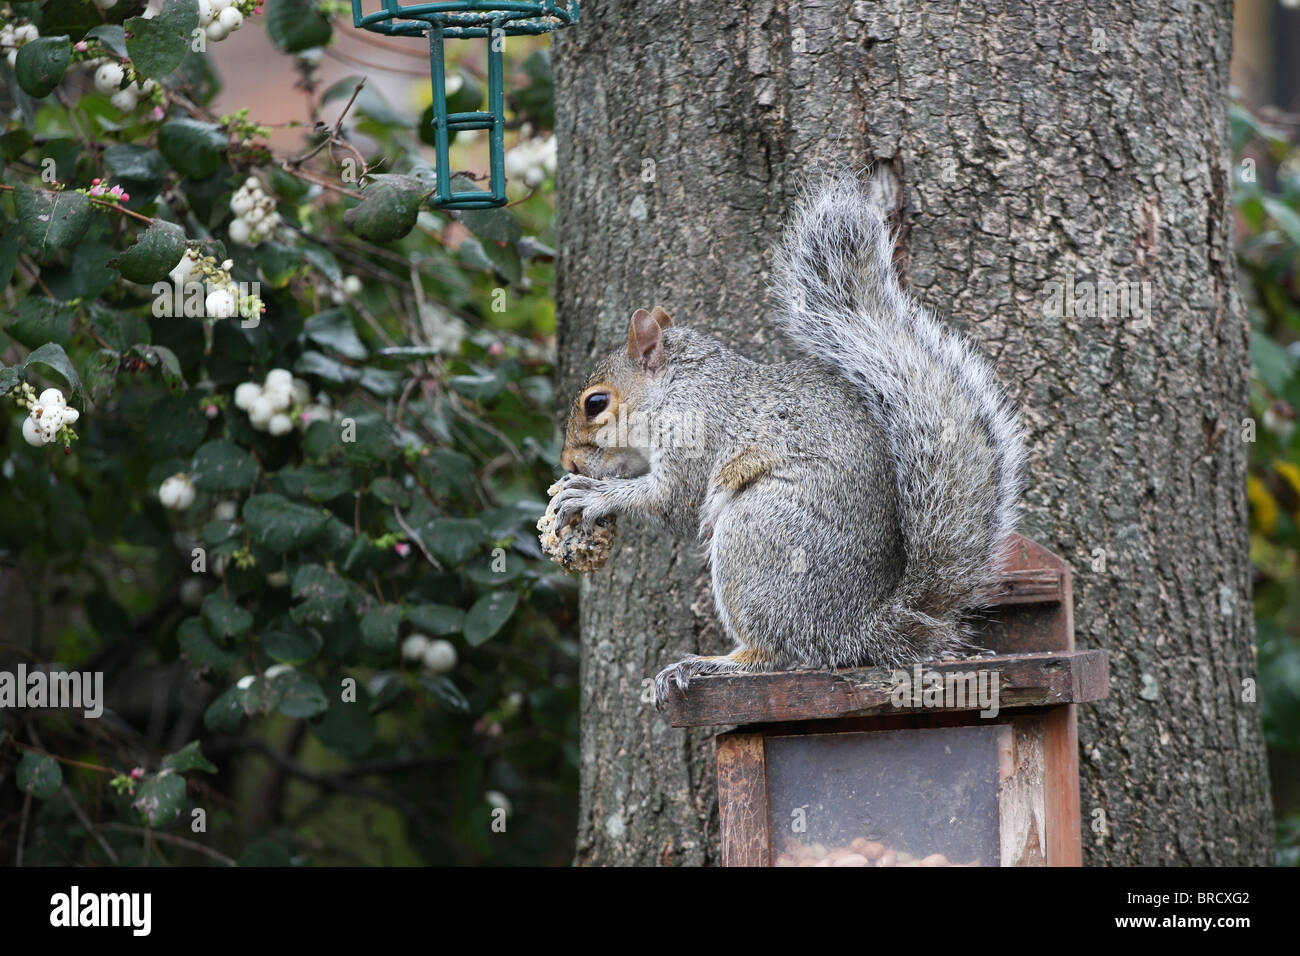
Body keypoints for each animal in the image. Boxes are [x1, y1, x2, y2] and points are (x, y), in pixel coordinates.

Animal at [553, 172, 1026, 710]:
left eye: (595, 403)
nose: (569, 460)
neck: (678, 387)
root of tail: (855, 632)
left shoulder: (700, 432)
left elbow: (673, 500)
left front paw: (592, 494)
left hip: (760, 533)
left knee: (777, 653)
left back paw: (711, 663)